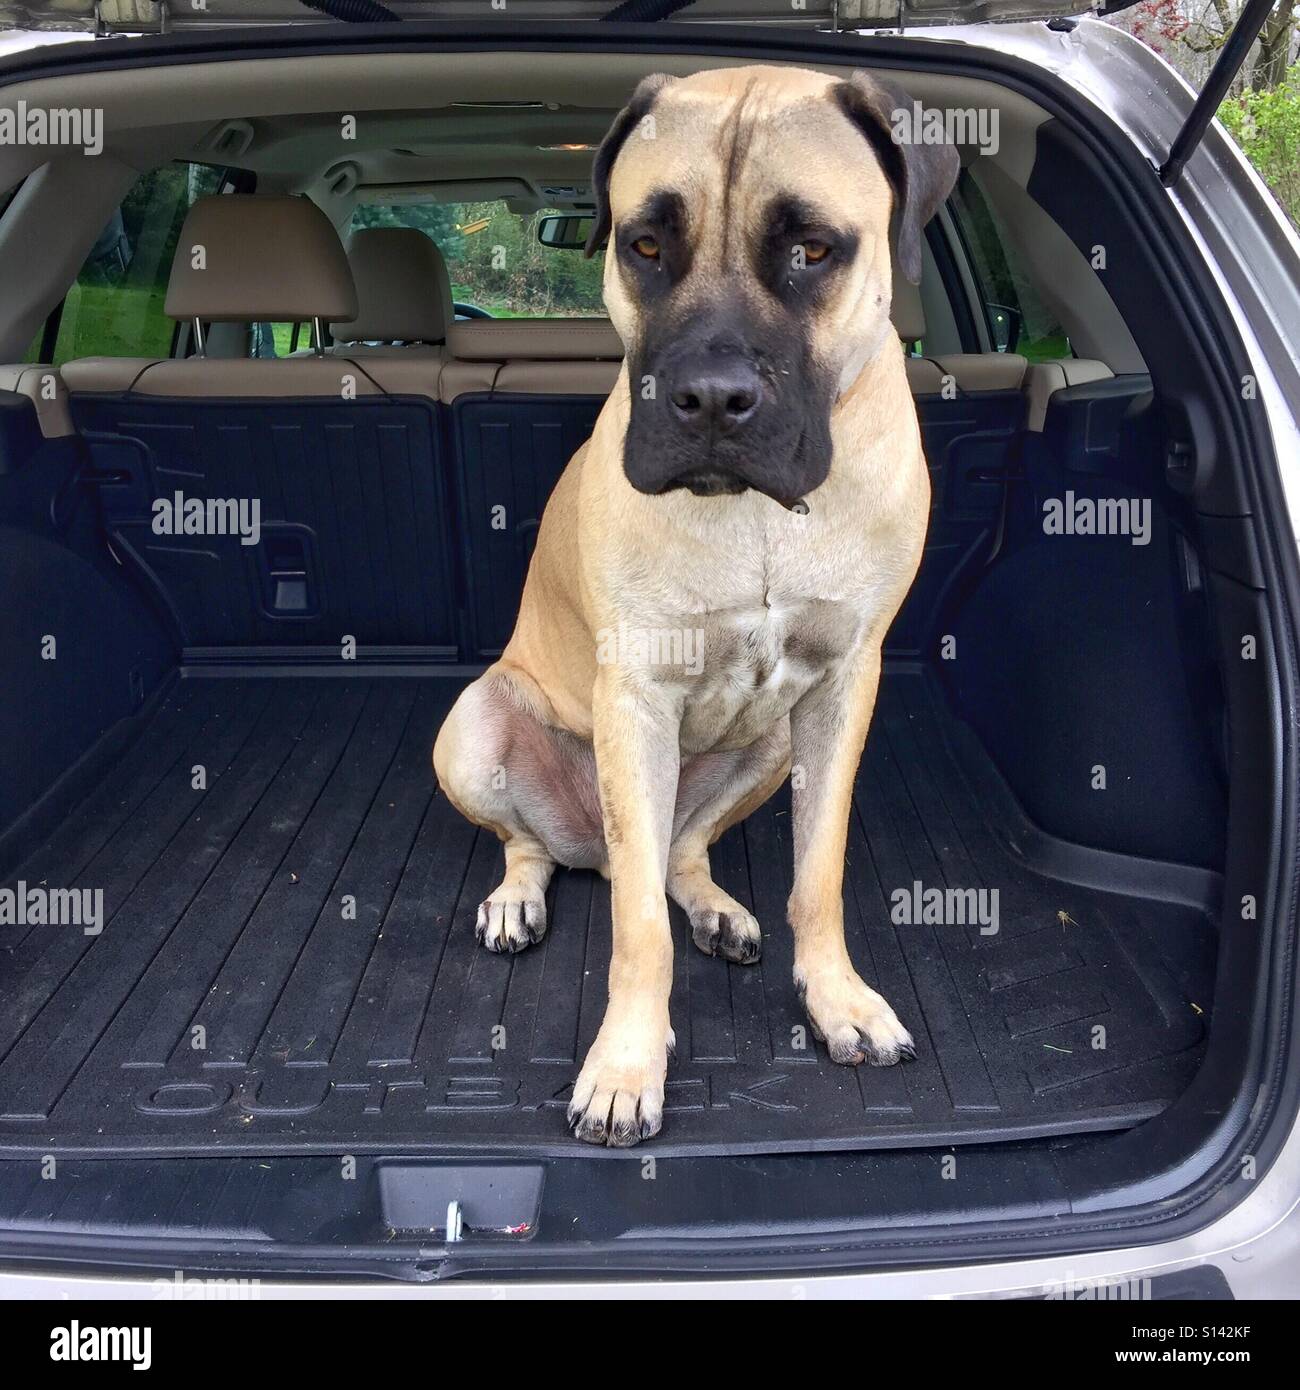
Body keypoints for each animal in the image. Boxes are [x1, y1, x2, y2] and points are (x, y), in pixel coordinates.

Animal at [436, 62, 956, 1150]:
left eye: (812, 249)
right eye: (645, 246)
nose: (711, 400)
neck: (754, 513)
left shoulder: (842, 688)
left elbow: (817, 873)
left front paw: (836, 1000)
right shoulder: (637, 694)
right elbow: (637, 931)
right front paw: (626, 1066)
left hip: (765, 748)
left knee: (679, 849)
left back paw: (715, 906)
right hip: (474, 725)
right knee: (538, 846)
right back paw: (517, 899)